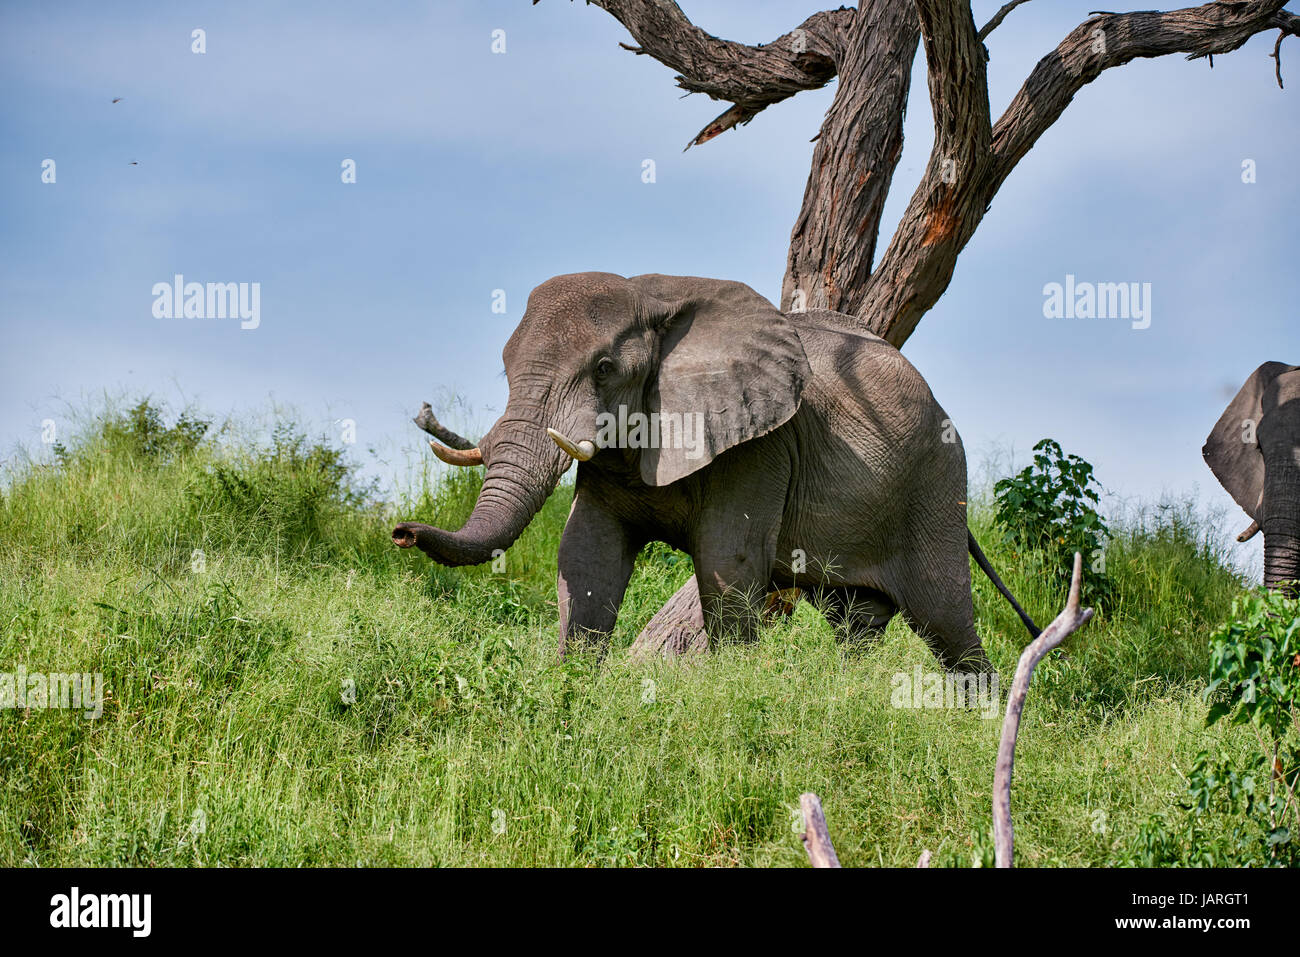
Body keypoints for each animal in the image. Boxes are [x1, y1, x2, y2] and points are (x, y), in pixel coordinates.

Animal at [390, 270, 1040, 670]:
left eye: (603, 369)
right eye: (504, 367)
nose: (401, 532)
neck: (651, 303)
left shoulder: (761, 446)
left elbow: (728, 564)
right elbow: (586, 552)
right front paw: (572, 685)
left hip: (936, 484)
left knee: (947, 620)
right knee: (854, 620)